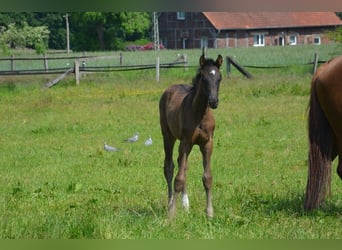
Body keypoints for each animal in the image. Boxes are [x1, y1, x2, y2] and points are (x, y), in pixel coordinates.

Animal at [159, 52, 223, 219]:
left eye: (219, 78)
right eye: (204, 78)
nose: (214, 101)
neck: (199, 114)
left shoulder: (207, 143)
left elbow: (207, 177)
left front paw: (210, 212)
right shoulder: (186, 142)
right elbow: (178, 178)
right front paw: (171, 213)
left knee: (183, 164)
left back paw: (185, 204)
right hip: (168, 136)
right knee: (169, 166)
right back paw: (170, 202)